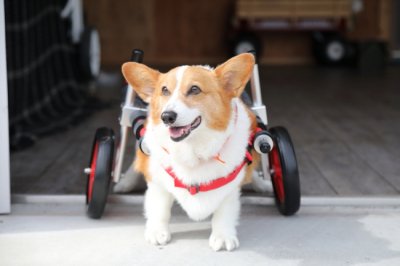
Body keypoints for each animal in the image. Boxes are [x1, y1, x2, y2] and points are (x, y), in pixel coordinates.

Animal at [120, 53, 260, 250]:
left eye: (195, 89)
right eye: (164, 91)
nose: (167, 116)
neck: (192, 150)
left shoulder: (231, 188)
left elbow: (224, 212)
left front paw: (223, 236)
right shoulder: (157, 181)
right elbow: (159, 208)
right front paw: (157, 232)